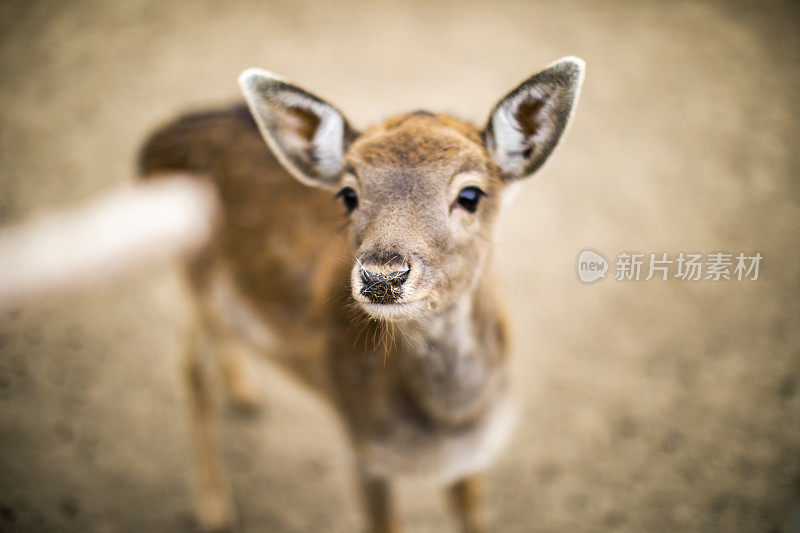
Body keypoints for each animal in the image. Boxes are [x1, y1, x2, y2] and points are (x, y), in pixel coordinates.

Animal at [138, 56, 584, 528]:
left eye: (471, 193)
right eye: (348, 194)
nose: (381, 276)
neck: (452, 425)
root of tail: (151, 141)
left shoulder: (471, 459)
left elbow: (472, 516)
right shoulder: (364, 450)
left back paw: (245, 394)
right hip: (191, 277)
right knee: (189, 362)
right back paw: (214, 508)